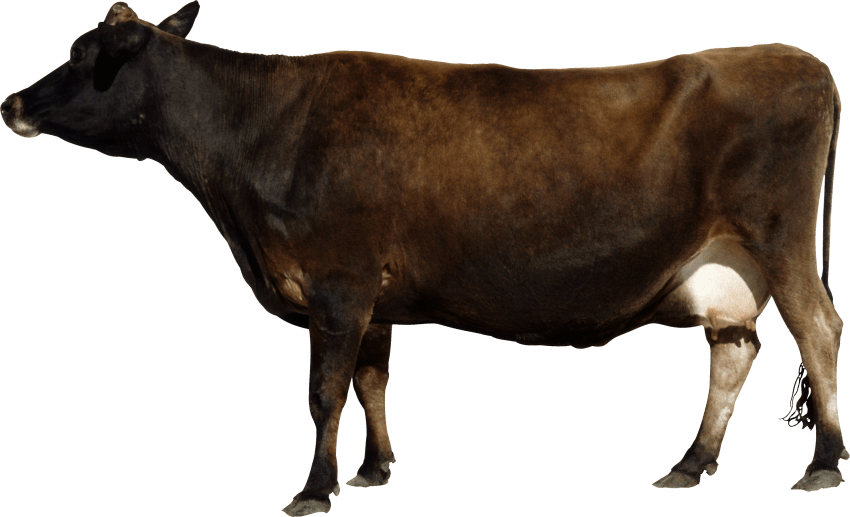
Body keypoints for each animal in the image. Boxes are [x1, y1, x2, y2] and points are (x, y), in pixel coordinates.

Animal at [2, 1, 847, 515]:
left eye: (79, 53)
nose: (11, 102)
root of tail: (799, 57)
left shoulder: (337, 279)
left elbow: (324, 391)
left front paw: (315, 488)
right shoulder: (370, 293)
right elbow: (372, 380)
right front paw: (374, 469)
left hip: (782, 238)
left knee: (818, 329)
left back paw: (823, 462)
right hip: (725, 267)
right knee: (734, 348)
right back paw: (692, 462)